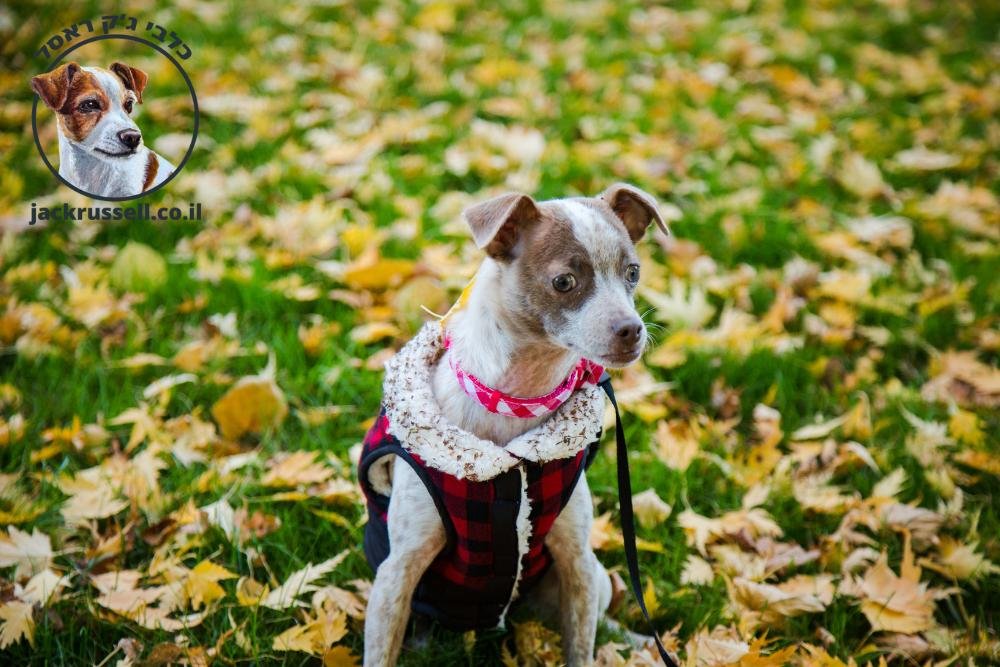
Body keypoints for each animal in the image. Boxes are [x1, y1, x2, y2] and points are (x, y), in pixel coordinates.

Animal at [356, 184, 668, 667]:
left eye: (632, 272)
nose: (632, 329)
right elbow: (379, 653)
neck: (514, 404)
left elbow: (581, 647)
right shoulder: (398, 571)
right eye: (564, 282)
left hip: (590, 578)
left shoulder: (577, 563)